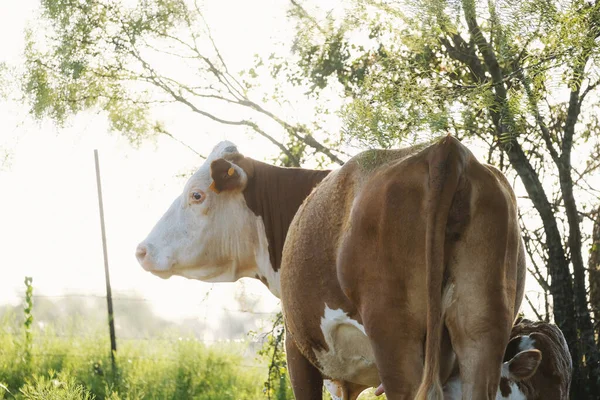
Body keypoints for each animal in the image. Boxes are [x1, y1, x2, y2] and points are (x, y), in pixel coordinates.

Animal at [136, 136, 524, 398]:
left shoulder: (300, 350)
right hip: (481, 329)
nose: (142, 250)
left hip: (394, 337)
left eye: (197, 195)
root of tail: (444, 149)